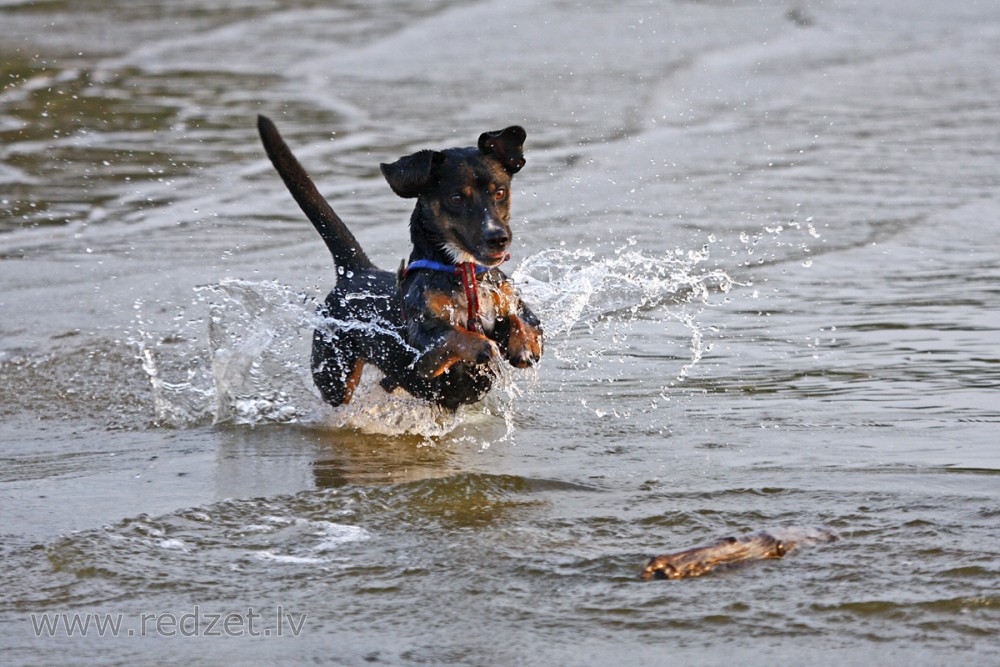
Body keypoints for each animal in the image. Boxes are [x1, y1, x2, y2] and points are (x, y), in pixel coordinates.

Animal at [254, 115, 544, 412]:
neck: (466, 273)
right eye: (456, 198)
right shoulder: (425, 355)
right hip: (336, 373)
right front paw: (481, 344)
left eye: (499, 193)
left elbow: (526, 321)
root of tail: (357, 271)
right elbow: (451, 336)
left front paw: (525, 344)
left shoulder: (513, 304)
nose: (498, 238)